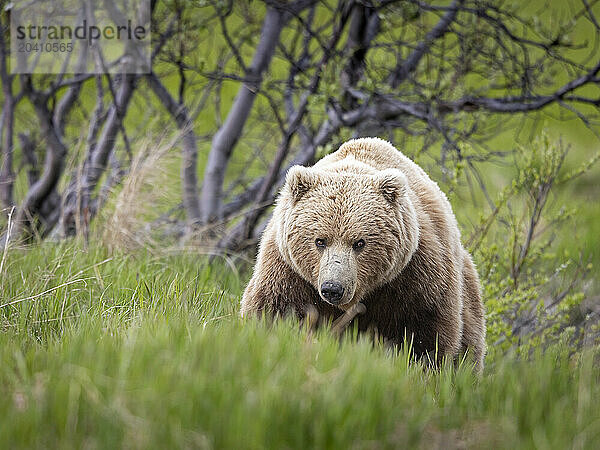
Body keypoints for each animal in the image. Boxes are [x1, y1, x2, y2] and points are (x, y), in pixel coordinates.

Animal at [241, 137, 486, 370]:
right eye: (320, 241)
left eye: (359, 243)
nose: (333, 289)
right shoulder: (288, 273)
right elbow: (273, 314)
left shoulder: (415, 278)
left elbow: (425, 339)